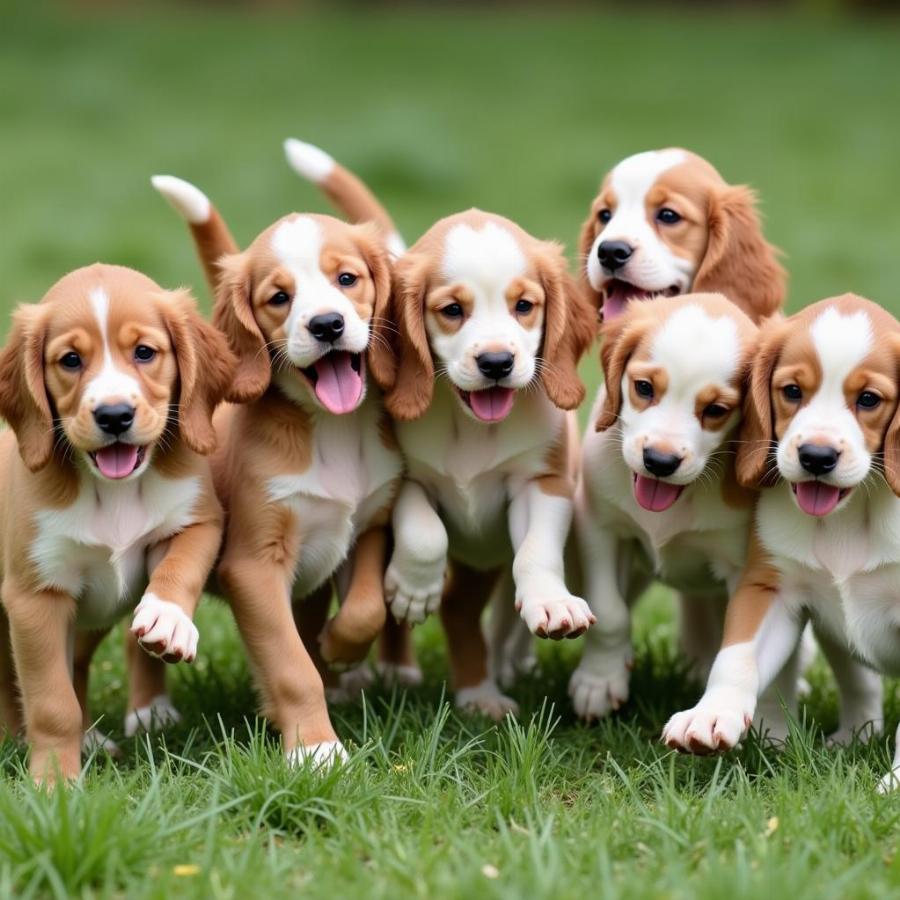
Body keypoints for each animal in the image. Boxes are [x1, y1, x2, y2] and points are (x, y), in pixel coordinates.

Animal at [0, 262, 232, 780]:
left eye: (144, 352)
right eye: (70, 360)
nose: (114, 415)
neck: (114, 490)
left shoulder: (199, 521)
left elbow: (181, 565)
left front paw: (167, 619)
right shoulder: (35, 597)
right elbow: (51, 702)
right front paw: (54, 782)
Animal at [153, 174, 402, 760]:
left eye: (347, 278)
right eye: (279, 298)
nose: (327, 324)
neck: (333, 428)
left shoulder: (369, 524)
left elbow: (366, 610)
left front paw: (338, 648)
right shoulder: (254, 565)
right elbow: (291, 666)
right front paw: (316, 751)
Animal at [664, 294, 888, 788]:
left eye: (869, 400)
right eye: (792, 391)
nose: (817, 457)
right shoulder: (773, 589)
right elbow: (736, 658)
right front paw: (711, 714)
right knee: (862, 683)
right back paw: (854, 738)